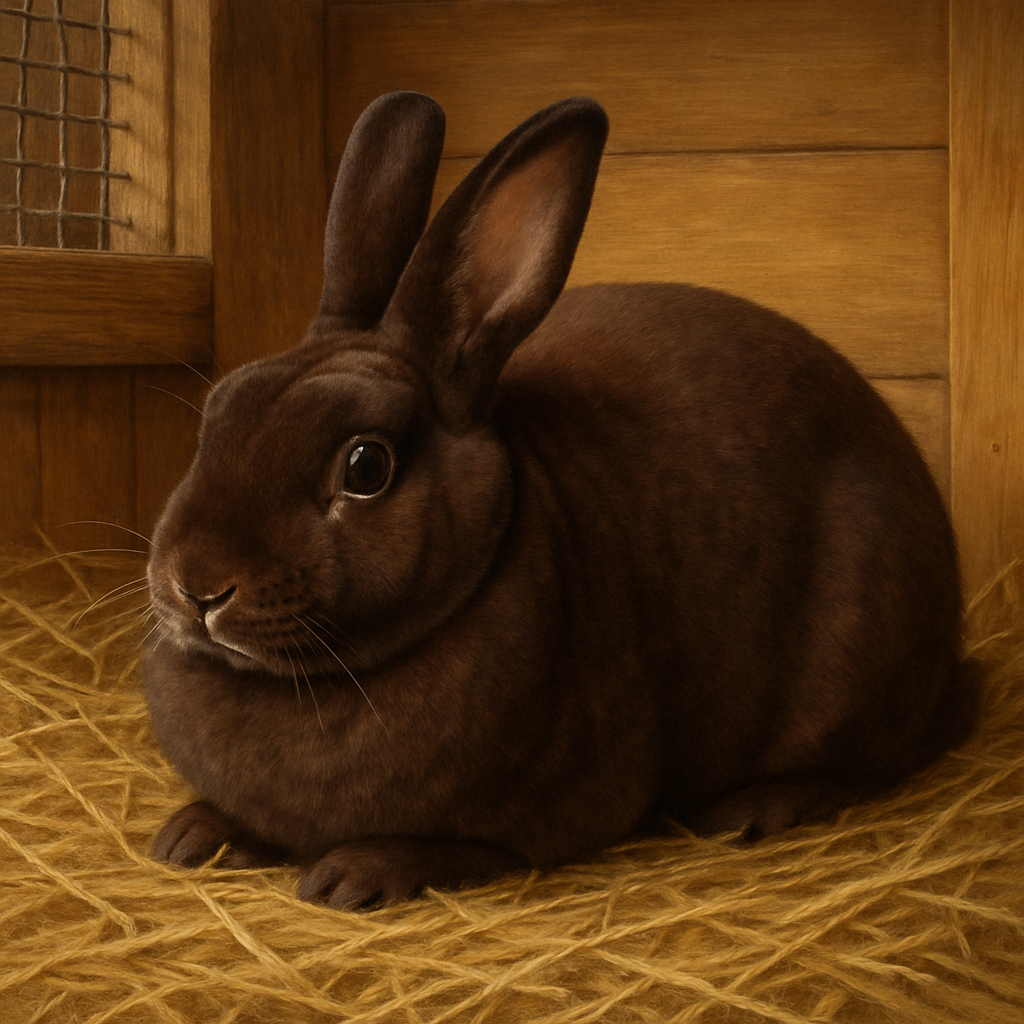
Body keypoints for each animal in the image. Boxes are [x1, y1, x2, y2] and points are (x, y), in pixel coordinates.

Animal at [143, 91, 976, 911]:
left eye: (365, 466)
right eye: (217, 415)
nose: (197, 586)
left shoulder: (556, 811)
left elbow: (472, 849)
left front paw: (355, 874)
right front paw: (190, 836)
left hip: (859, 642)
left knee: (866, 763)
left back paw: (755, 810)